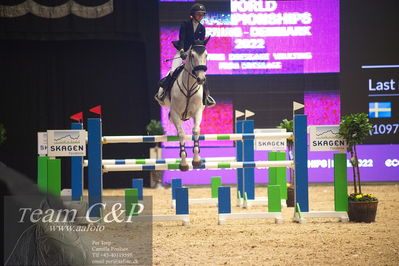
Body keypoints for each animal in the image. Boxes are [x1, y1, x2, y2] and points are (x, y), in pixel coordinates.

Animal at [161, 37, 211, 170]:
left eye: (206, 55)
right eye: (192, 55)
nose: (201, 79)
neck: (188, 88)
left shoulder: (198, 112)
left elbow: (196, 131)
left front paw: (196, 160)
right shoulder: (175, 113)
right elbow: (182, 134)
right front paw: (183, 163)